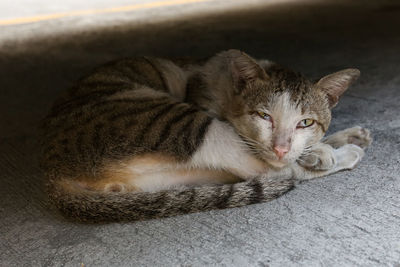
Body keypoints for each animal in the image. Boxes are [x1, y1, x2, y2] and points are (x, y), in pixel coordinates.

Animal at [40, 49, 372, 223]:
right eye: (264, 116)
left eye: (305, 122)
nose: (280, 148)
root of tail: (53, 171)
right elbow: (269, 163)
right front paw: (325, 151)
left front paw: (339, 138)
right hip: (179, 123)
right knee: (265, 171)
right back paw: (343, 155)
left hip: (169, 175)